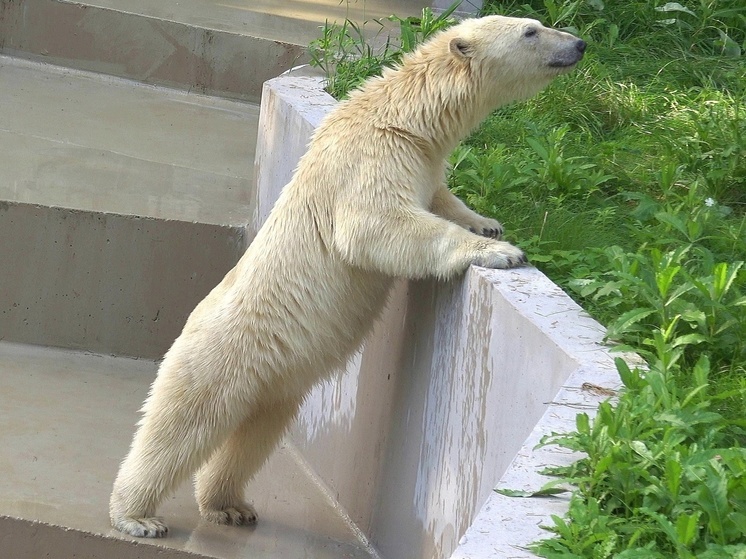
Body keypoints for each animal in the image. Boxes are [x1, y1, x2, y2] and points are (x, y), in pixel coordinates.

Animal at [110, 14, 584, 540]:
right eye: (531, 31)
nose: (580, 44)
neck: (402, 116)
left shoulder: (420, 162)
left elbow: (440, 198)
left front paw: (486, 222)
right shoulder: (373, 158)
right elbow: (375, 226)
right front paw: (501, 251)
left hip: (276, 383)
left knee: (255, 435)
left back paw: (230, 504)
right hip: (219, 358)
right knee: (181, 427)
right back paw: (137, 515)